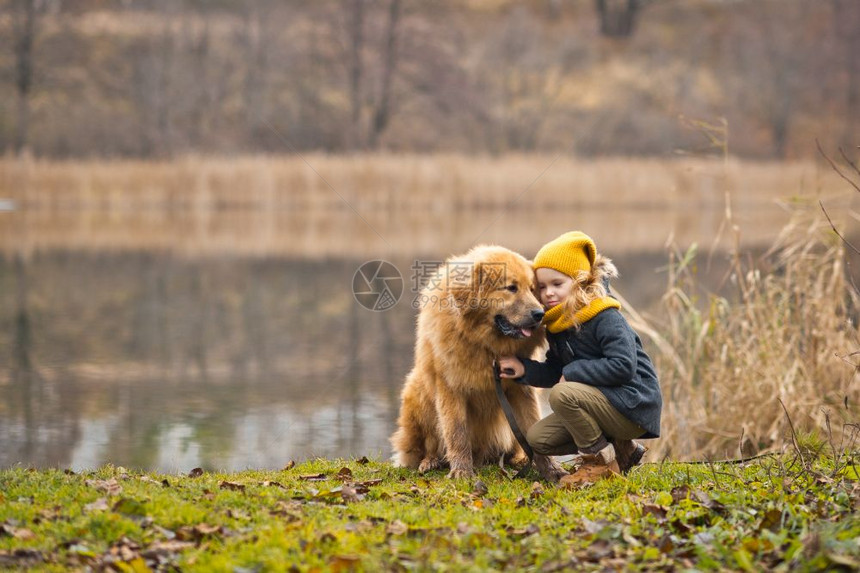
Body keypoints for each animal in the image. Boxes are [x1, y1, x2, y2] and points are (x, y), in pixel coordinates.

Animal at [390, 242, 564, 478]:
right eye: (511, 288)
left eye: (532, 289)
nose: (539, 314)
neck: (484, 344)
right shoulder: (451, 387)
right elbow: (457, 433)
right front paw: (462, 471)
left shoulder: (521, 390)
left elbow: (531, 428)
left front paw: (551, 470)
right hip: (417, 395)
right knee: (427, 445)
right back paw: (431, 461)